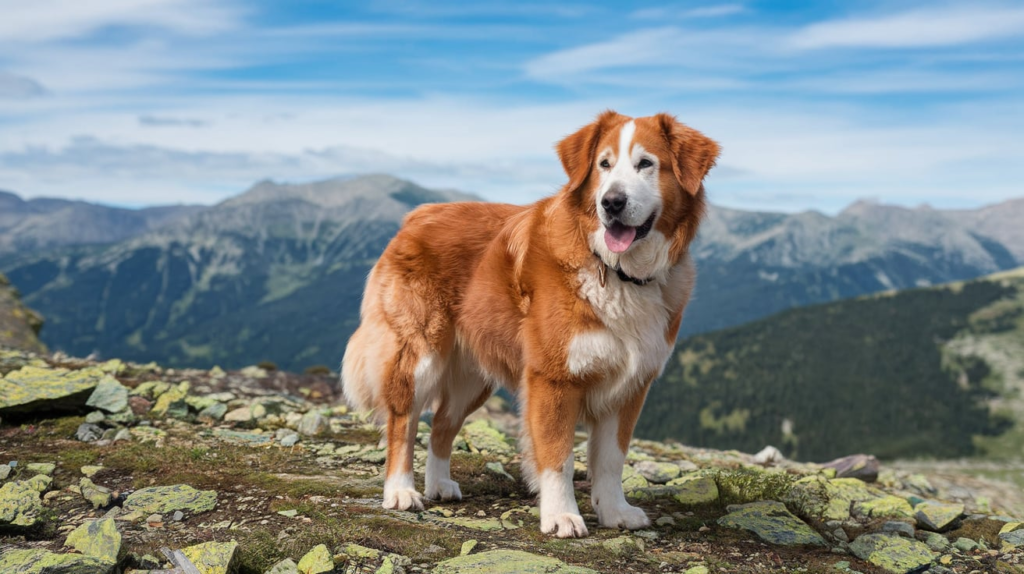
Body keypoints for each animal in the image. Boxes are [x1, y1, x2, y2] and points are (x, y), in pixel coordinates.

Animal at [339, 111, 716, 536]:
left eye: (646, 164)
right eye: (603, 165)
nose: (612, 202)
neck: (615, 271)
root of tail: (416, 215)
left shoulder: (630, 387)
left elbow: (611, 460)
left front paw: (615, 512)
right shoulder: (553, 379)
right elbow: (558, 457)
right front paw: (562, 515)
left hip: (473, 380)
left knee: (441, 424)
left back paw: (439, 485)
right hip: (419, 355)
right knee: (403, 423)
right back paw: (401, 492)